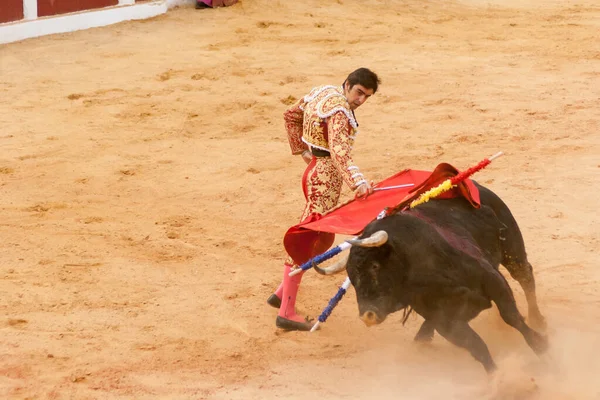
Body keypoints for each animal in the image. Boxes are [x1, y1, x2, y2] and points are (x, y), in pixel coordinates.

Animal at [316, 183, 548, 374]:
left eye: (375, 266)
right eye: (352, 278)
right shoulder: (446, 323)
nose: (367, 316)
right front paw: (500, 380)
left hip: (512, 248)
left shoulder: (492, 279)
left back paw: (538, 319)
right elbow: (477, 347)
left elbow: (512, 317)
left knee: (525, 276)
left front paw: (543, 349)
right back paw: (422, 339)